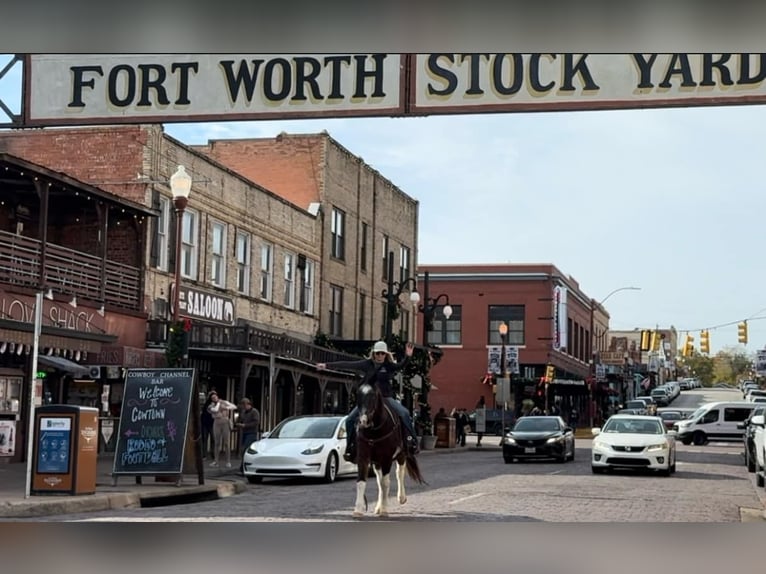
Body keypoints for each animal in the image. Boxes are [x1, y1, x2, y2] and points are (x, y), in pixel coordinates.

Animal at [352, 384, 426, 520]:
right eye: (358, 395)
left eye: (373, 397)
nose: (363, 421)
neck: (374, 431)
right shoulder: (363, 457)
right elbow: (361, 482)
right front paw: (358, 510)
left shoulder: (386, 458)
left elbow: (386, 483)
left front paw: (385, 510)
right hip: (377, 462)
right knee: (379, 481)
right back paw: (378, 507)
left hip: (401, 455)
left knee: (399, 473)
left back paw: (401, 497)